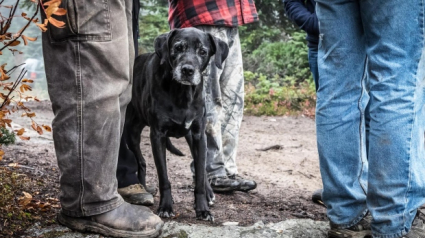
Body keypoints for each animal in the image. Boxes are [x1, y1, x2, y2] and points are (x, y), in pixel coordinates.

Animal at [121, 28, 229, 221]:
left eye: (203, 52)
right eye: (178, 47)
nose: (187, 70)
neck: (182, 92)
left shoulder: (198, 135)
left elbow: (200, 173)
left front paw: (202, 209)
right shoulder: (158, 136)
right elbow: (164, 177)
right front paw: (165, 206)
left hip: (190, 138)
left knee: (200, 167)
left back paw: (209, 193)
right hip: (131, 133)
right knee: (141, 162)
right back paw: (143, 189)